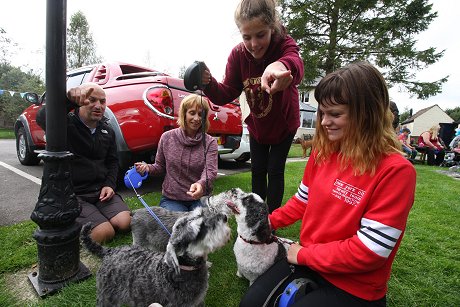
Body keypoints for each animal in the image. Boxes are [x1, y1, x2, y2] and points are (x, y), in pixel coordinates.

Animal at [81, 207, 232, 307]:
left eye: (202, 213)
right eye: (200, 228)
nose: (224, 217)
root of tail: (108, 252)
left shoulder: (199, 301)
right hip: (107, 297)